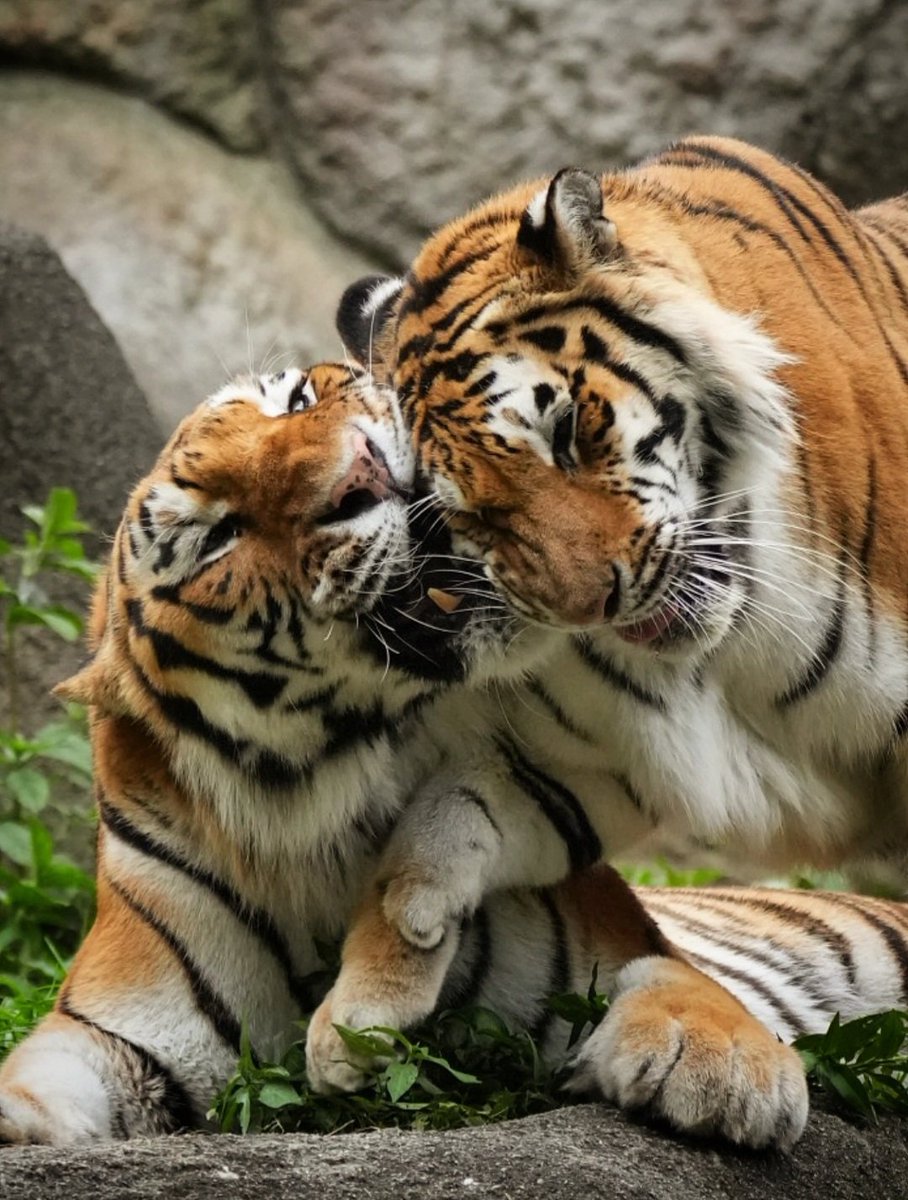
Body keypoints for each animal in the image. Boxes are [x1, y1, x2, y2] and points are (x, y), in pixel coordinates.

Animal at [1, 362, 904, 1151]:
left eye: (296, 400)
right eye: (218, 534)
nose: (363, 470)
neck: (321, 801)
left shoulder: (615, 940)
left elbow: (686, 983)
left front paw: (723, 1070)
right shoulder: (110, 1030)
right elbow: (32, 1079)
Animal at [303, 136, 908, 1122]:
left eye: (570, 428)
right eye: (464, 517)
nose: (595, 601)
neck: (729, 651)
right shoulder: (585, 762)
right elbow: (444, 822)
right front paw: (361, 1015)